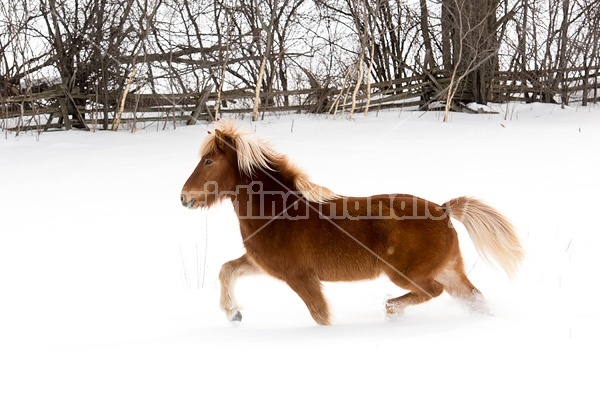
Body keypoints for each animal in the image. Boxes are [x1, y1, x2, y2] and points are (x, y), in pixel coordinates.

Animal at [180, 121, 524, 324]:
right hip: (449, 270)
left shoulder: (300, 277)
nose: (184, 197)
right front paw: (233, 313)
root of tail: (443, 211)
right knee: (473, 298)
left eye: (208, 161)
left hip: (408, 274)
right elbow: (227, 269)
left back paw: (391, 309)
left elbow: (320, 315)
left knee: (432, 291)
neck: (279, 211)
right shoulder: (263, 264)